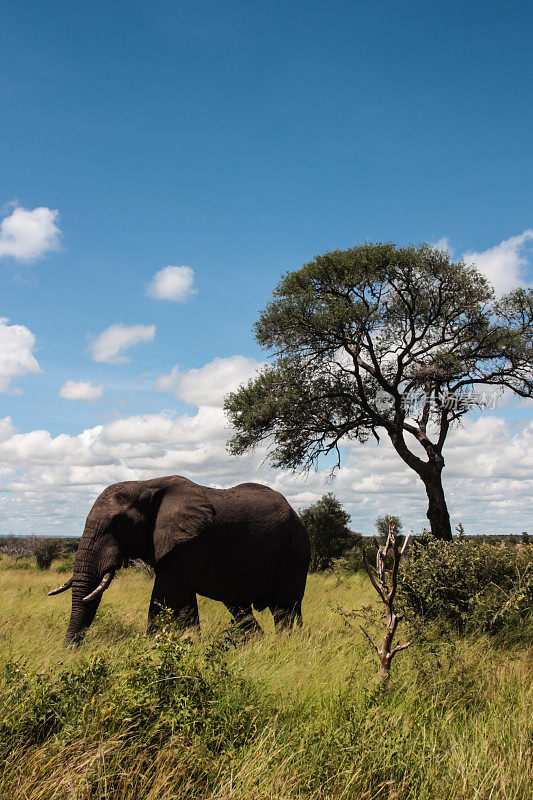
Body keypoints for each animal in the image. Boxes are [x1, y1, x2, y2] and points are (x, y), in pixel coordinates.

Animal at [49, 476, 310, 644]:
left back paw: (287, 644)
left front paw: (151, 647)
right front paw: (190, 641)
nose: (70, 650)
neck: (145, 485)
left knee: (285, 609)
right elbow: (183, 602)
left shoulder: (191, 542)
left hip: (296, 552)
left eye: (120, 525)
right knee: (240, 608)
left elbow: (165, 596)